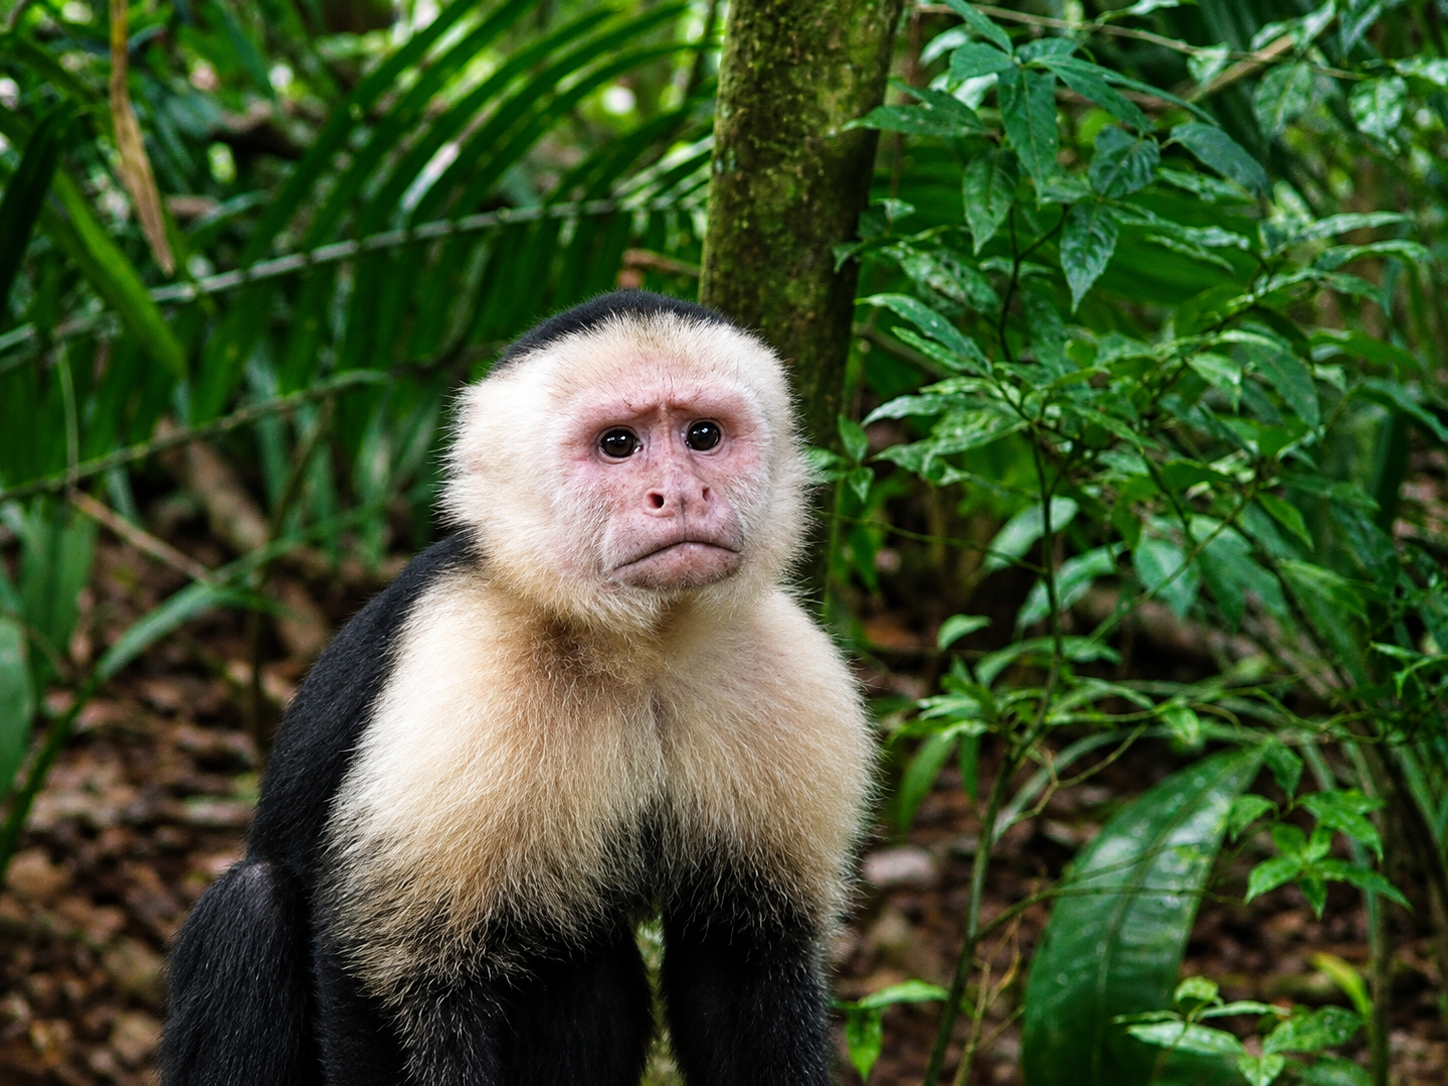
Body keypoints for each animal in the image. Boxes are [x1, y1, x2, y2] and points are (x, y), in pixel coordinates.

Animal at [161, 290, 874, 1086]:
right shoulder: (469, 664)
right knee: (253, 905)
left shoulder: (789, 667)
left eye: (703, 435)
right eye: (618, 444)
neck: (638, 649)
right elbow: (389, 971)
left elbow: (745, 958)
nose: (684, 493)